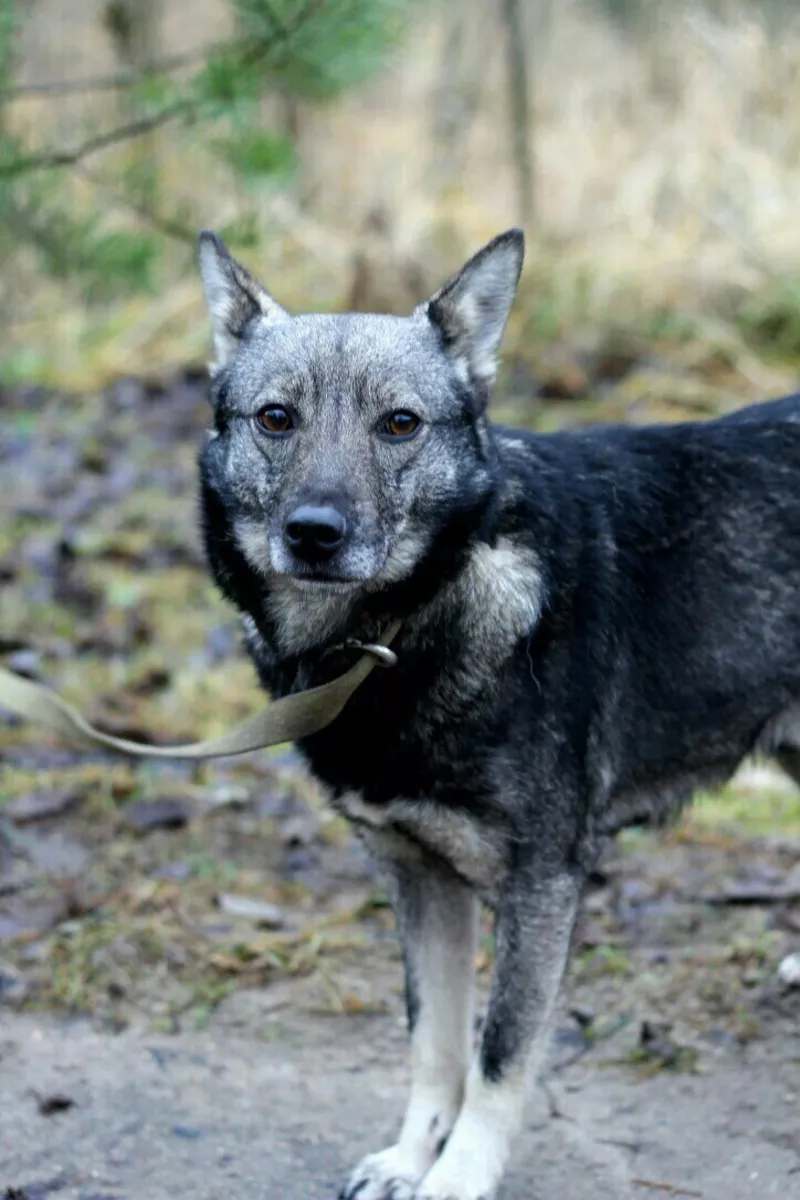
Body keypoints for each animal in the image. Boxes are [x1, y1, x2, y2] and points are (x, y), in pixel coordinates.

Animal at [195, 226, 800, 1200]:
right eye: (276, 418)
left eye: (400, 424)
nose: (315, 533)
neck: (397, 634)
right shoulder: (419, 878)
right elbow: (433, 1046)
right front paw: (411, 1159)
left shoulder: (541, 887)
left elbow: (499, 1056)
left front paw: (458, 1176)